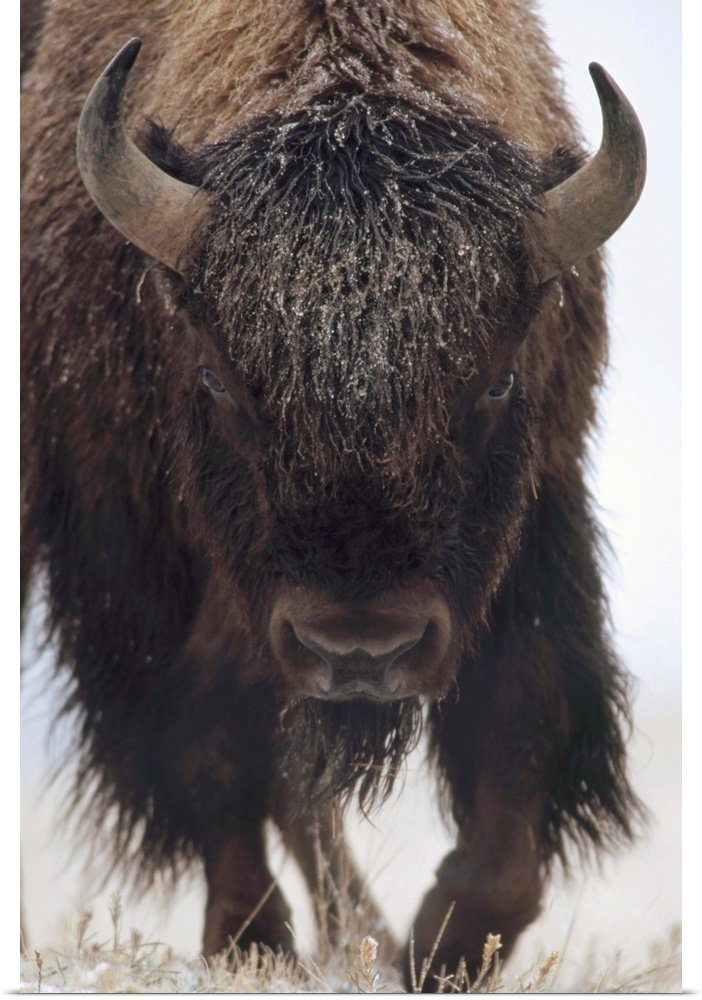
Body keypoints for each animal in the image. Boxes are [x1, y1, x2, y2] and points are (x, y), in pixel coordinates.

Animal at [21, 0, 646, 983]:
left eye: (499, 382)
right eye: (217, 378)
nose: (359, 650)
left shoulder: (539, 509)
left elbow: (523, 720)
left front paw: (438, 948)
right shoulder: (131, 546)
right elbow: (208, 737)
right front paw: (251, 941)